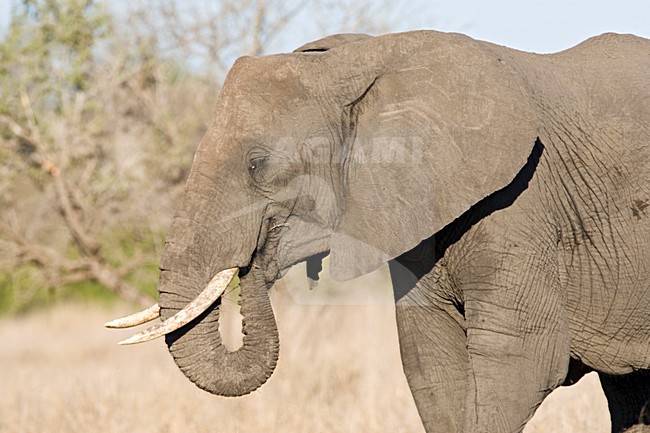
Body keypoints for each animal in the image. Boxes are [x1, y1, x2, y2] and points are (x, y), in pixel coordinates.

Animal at [107, 31, 650, 433]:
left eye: (258, 165)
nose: (256, 260)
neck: (365, 59)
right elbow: (430, 362)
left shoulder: (520, 203)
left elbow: (520, 358)